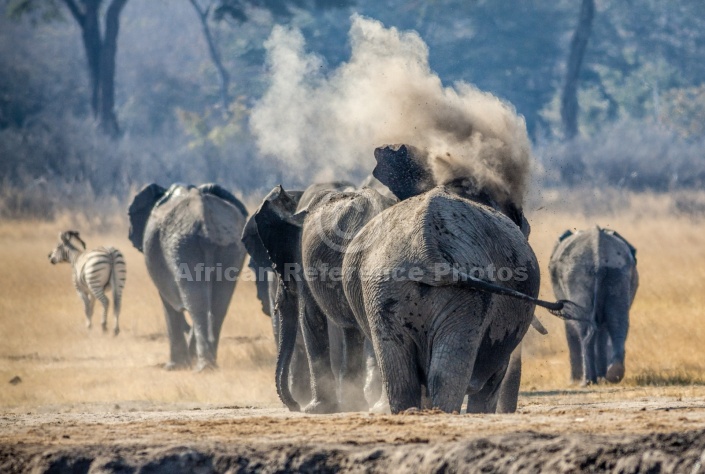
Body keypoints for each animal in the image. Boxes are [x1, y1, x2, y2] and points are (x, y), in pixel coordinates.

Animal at [129, 183, 248, 372]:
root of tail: (205, 219)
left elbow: (168, 304)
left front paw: (173, 367)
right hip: (230, 245)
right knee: (216, 304)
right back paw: (209, 365)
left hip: (182, 245)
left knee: (197, 302)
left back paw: (202, 367)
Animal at [544, 226, 640, 386]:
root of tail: (598, 255)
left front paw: (573, 381)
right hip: (617, 273)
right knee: (618, 322)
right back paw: (613, 374)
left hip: (577, 277)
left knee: (584, 328)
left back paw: (586, 381)